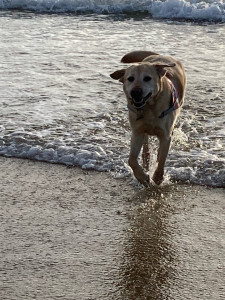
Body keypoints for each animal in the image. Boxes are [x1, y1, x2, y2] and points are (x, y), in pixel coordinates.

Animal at [110, 51, 186, 186]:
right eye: (130, 78)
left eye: (147, 78)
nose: (135, 92)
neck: (149, 108)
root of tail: (160, 55)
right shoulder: (137, 132)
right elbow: (131, 159)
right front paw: (142, 177)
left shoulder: (165, 136)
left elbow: (162, 159)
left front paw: (158, 177)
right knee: (145, 148)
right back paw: (145, 162)